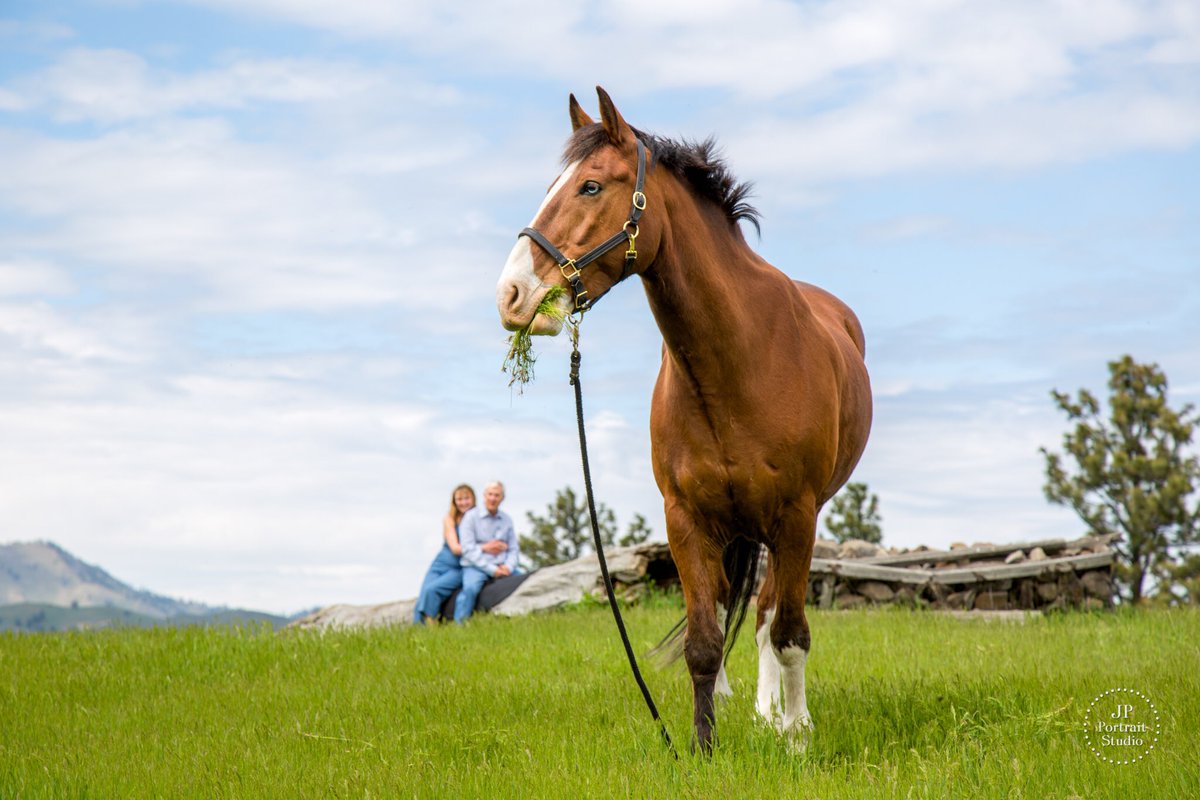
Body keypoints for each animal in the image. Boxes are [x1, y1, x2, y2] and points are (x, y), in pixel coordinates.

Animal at [495, 87, 872, 754]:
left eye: (590, 186)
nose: (511, 295)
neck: (737, 361)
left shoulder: (797, 517)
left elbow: (790, 634)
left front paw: (797, 740)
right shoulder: (686, 520)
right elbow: (702, 643)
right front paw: (702, 747)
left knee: (770, 614)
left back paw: (780, 716)